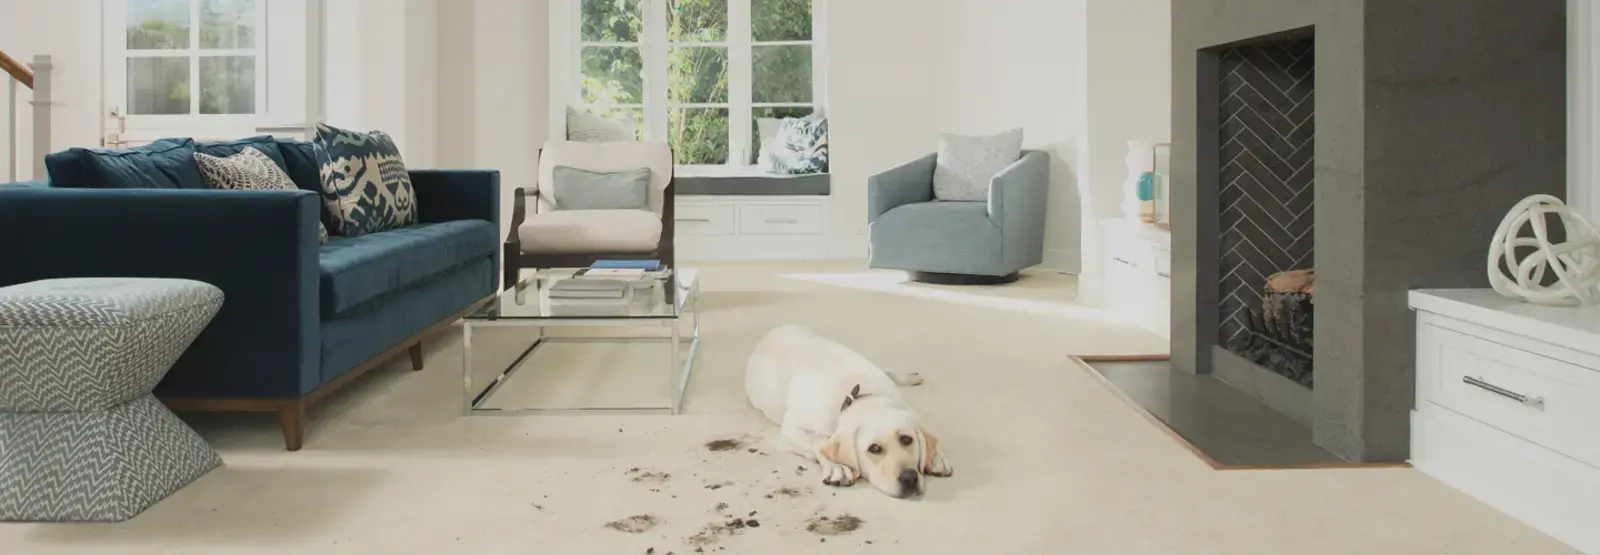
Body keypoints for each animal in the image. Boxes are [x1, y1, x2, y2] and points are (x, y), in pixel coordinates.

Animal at [745, 324, 953, 499]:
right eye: (874, 449)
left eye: (907, 439)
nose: (910, 478)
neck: (859, 396)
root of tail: (775, 330)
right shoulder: (791, 430)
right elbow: (818, 442)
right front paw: (837, 466)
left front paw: (936, 456)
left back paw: (908, 377)